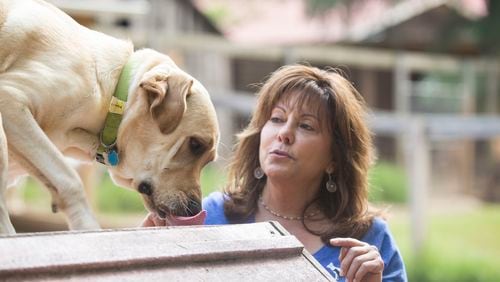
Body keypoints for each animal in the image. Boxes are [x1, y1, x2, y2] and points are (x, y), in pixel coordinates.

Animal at [0, 0, 219, 234]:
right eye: (195, 145)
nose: (195, 209)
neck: (113, 95)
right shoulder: (11, 99)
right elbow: (69, 179)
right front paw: (86, 224)